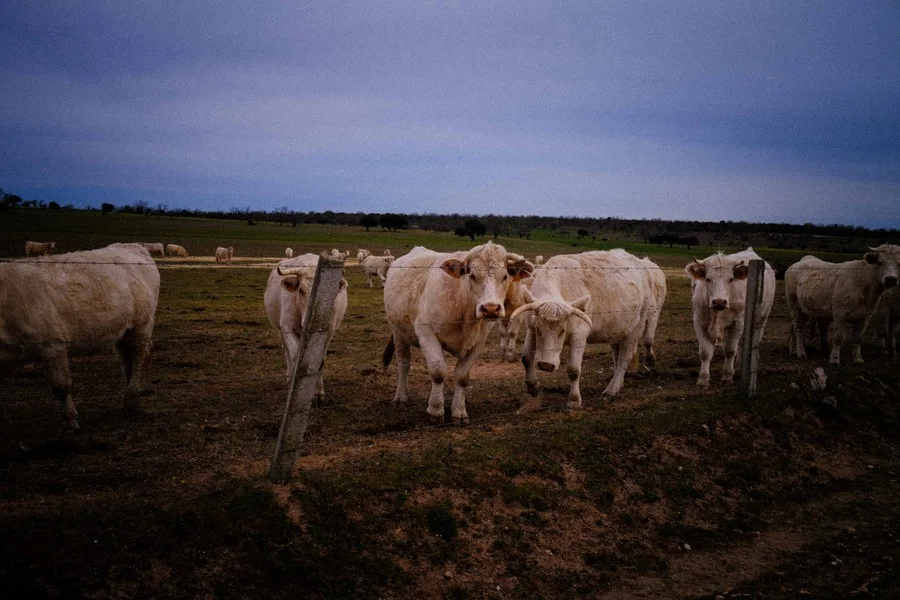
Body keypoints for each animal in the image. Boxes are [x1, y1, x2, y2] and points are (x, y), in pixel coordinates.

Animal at [0, 245, 160, 432]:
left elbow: (61, 386)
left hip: (141, 325)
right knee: (128, 361)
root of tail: (134, 247)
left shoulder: (53, 345)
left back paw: (132, 398)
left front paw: (70, 419)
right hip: (124, 333)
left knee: (139, 357)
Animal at [382, 241, 536, 424]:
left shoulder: (478, 342)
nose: (490, 308)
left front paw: (459, 412)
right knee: (403, 363)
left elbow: (462, 377)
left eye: (505, 276)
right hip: (398, 332)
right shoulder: (427, 334)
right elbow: (438, 373)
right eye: (472, 275)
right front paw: (435, 411)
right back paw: (400, 397)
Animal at [512, 248, 660, 408]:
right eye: (539, 330)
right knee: (617, 354)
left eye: (563, 331)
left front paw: (574, 399)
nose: (546, 365)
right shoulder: (531, 329)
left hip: (636, 328)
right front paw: (533, 387)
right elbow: (526, 358)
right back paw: (618, 383)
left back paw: (611, 390)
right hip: (618, 330)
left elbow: (573, 369)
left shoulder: (579, 335)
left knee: (625, 357)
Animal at [684, 247, 776, 384]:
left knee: (753, 340)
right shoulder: (699, 322)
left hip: (761, 318)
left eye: (731, 279)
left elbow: (730, 350)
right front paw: (703, 378)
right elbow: (705, 353)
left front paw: (727, 375)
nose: (719, 301)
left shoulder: (737, 323)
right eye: (708, 279)